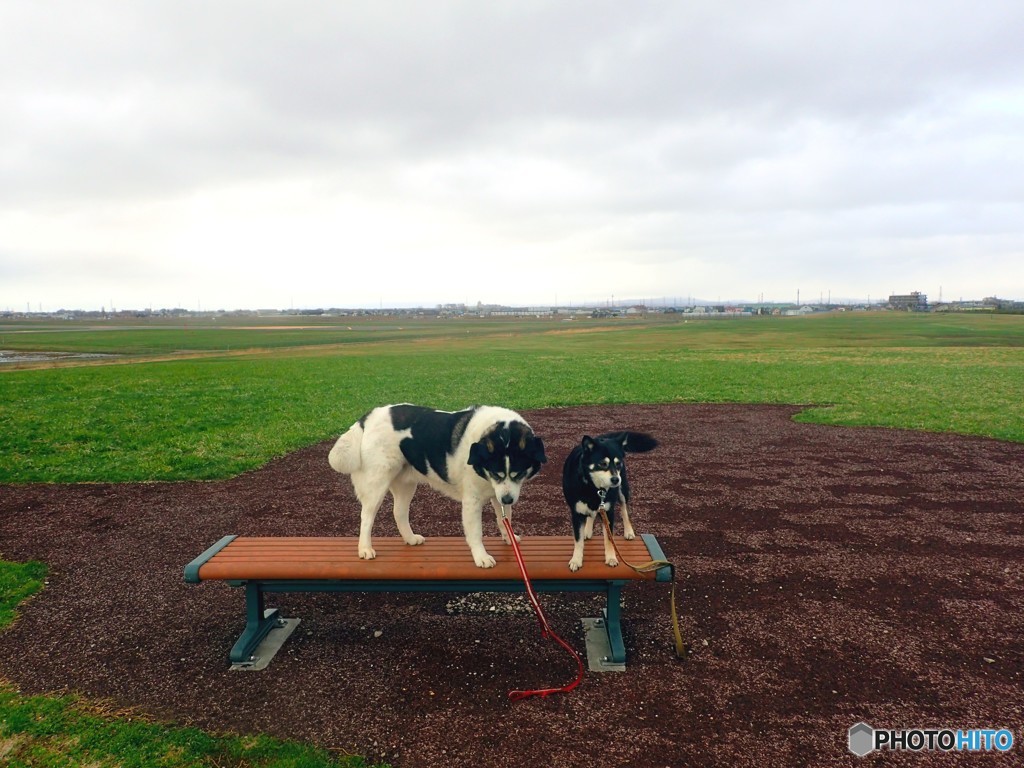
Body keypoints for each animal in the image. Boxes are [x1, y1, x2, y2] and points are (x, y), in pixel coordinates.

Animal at [331, 405, 548, 569]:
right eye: (496, 473)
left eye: (519, 473)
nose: (508, 499)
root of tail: (369, 416)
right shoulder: (473, 501)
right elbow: (476, 532)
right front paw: (481, 556)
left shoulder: (499, 493)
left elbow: (505, 519)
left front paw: (509, 538)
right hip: (377, 483)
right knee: (366, 517)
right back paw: (365, 548)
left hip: (405, 484)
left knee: (398, 512)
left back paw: (410, 538)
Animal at [561, 434, 655, 573]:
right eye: (603, 464)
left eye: (618, 463)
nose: (615, 479)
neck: (593, 487)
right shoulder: (577, 514)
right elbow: (578, 541)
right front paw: (576, 560)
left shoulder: (608, 512)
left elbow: (609, 539)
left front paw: (611, 558)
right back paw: (587, 531)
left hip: (622, 490)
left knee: (624, 510)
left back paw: (629, 531)